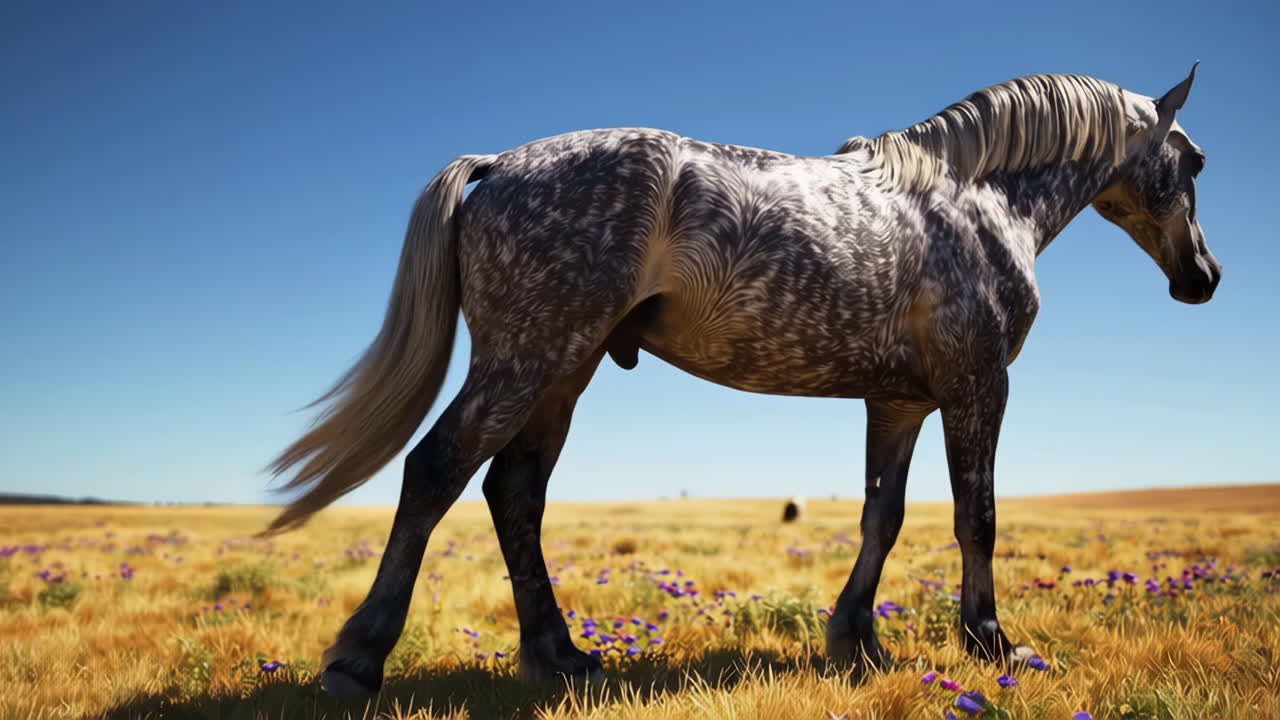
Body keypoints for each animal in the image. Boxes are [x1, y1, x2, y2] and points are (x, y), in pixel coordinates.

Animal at [266, 65, 1219, 697]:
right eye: (1198, 163)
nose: (1203, 279)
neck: (976, 202)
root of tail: (497, 163)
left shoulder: (899, 401)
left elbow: (882, 517)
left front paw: (855, 642)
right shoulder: (977, 385)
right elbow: (976, 516)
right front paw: (994, 644)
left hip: (564, 371)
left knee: (514, 493)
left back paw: (560, 656)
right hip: (525, 359)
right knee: (439, 472)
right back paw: (358, 662)